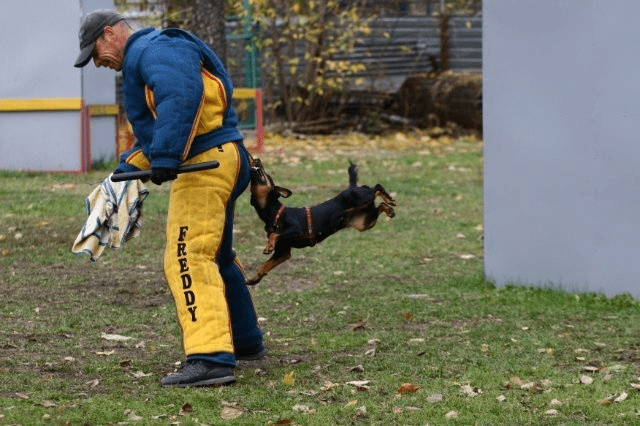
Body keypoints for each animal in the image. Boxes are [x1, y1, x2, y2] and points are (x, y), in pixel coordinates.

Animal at [249, 158, 396, 284]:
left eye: (267, 176)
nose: (256, 160)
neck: (275, 214)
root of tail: (352, 187)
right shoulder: (283, 252)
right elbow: (264, 266)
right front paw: (254, 278)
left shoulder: (296, 230)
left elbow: (276, 234)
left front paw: (269, 245)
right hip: (364, 222)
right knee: (379, 206)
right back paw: (389, 210)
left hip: (361, 198)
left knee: (376, 187)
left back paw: (390, 199)